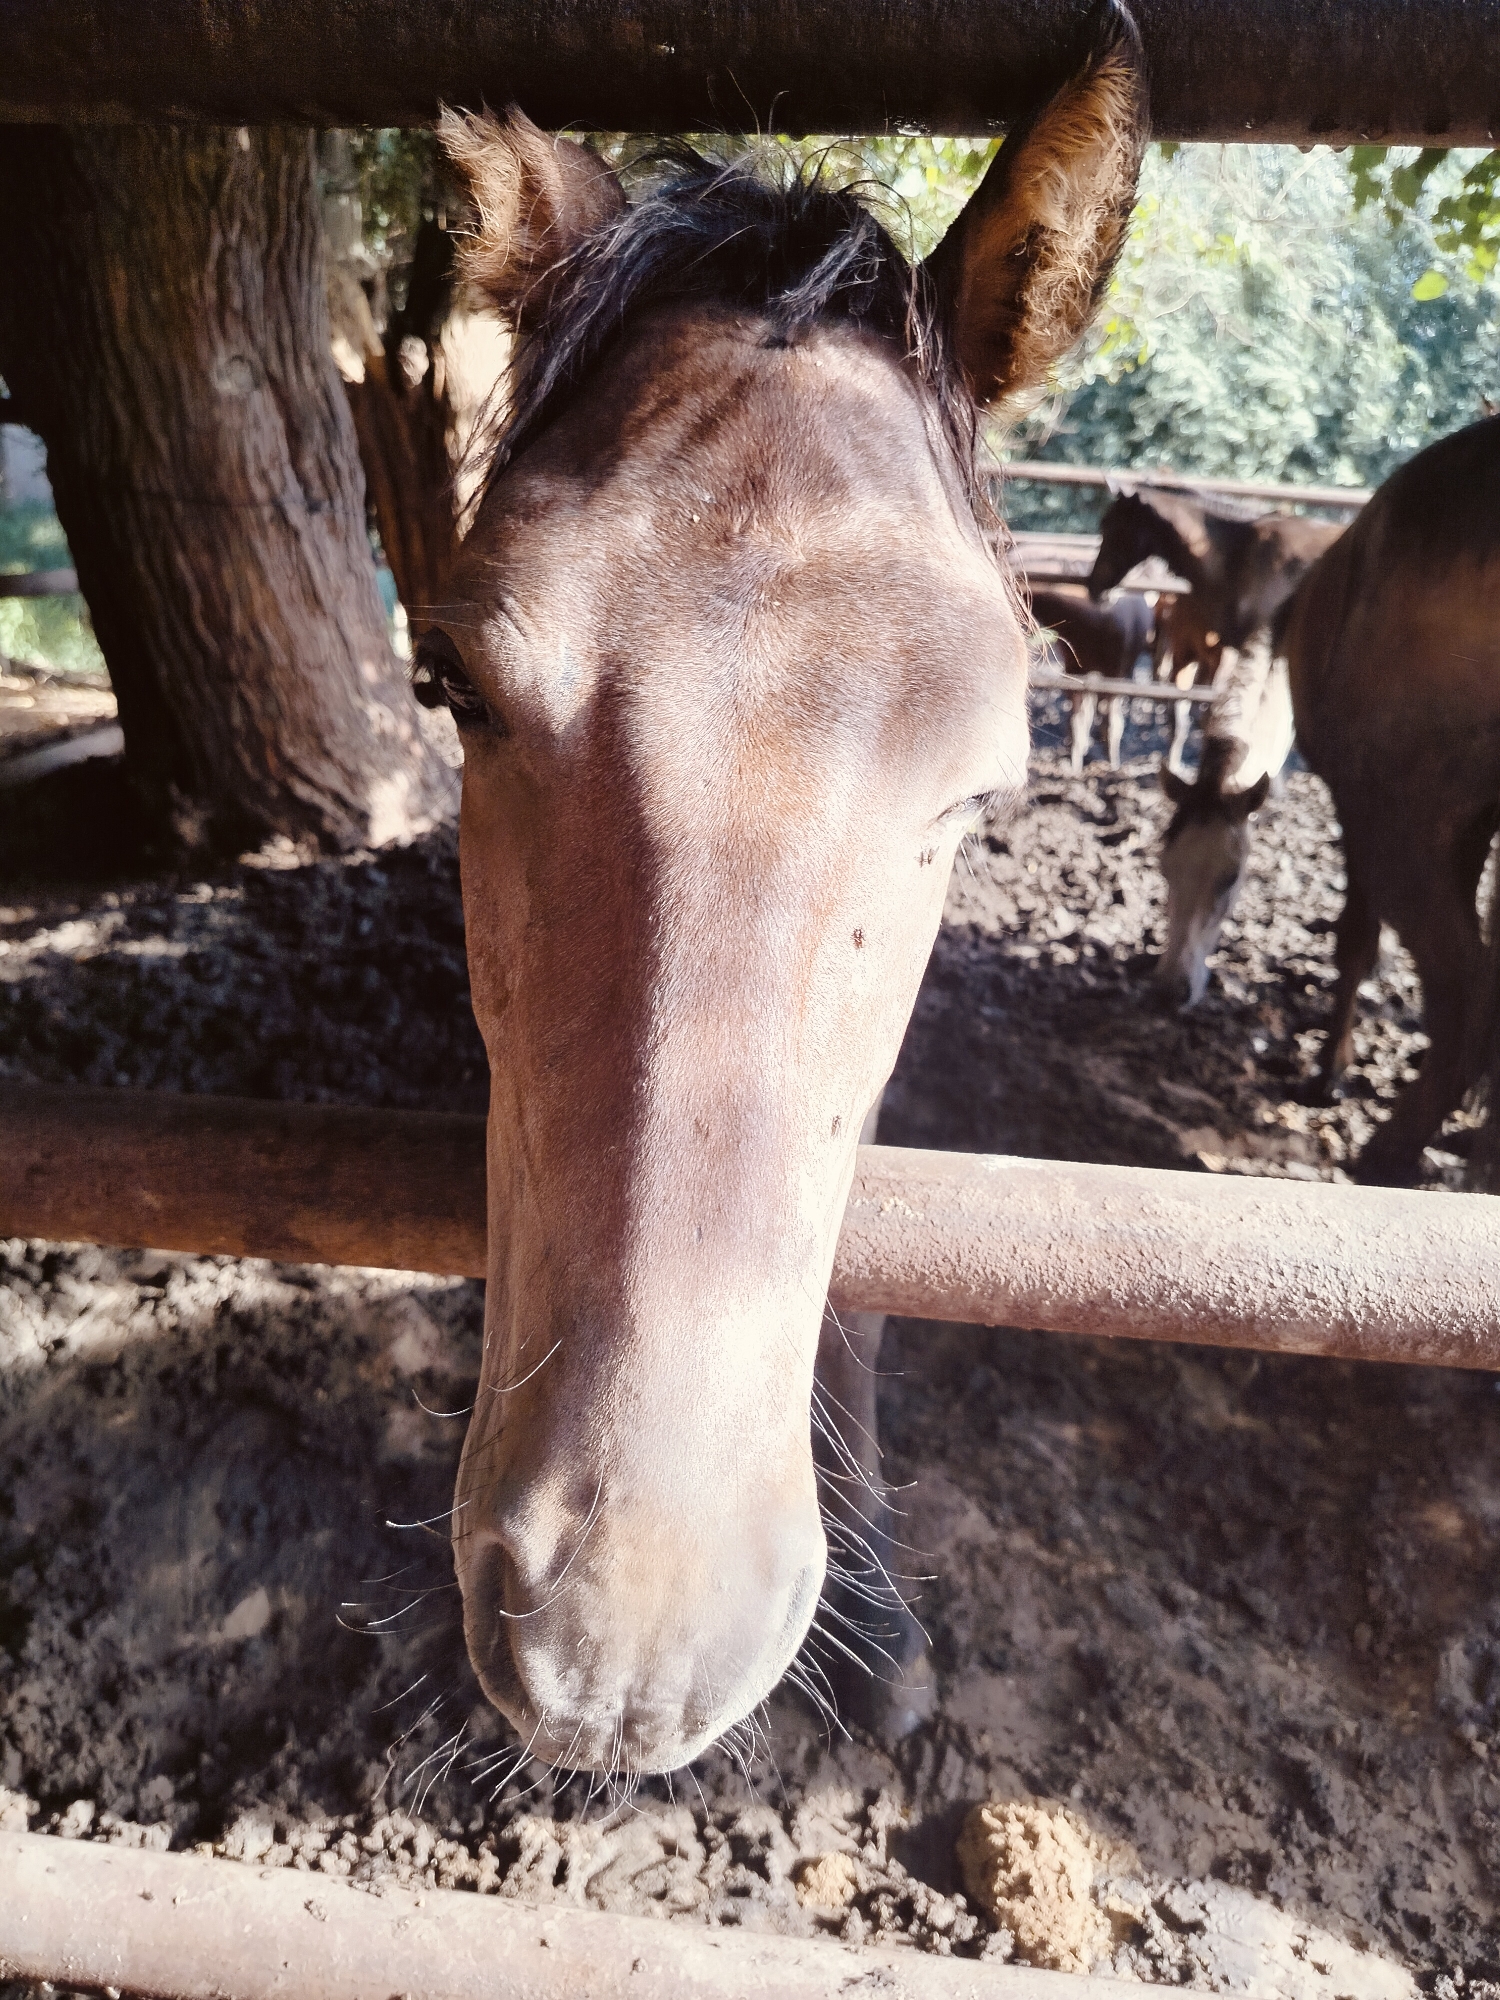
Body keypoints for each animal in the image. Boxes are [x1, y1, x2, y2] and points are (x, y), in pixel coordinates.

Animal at [1029, 583, 1153, 771]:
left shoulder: (1113, 674)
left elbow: (1112, 721)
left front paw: (1112, 762)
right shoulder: (1075, 671)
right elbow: (1078, 718)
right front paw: (1075, 760)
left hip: (1123, 669)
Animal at [1280, 414, 1500, 1184]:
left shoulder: (1372, 808)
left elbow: (1355, 936)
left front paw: (1329, 1072)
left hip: (1403, 824)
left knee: (1469, 992)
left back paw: (1389, 1154)